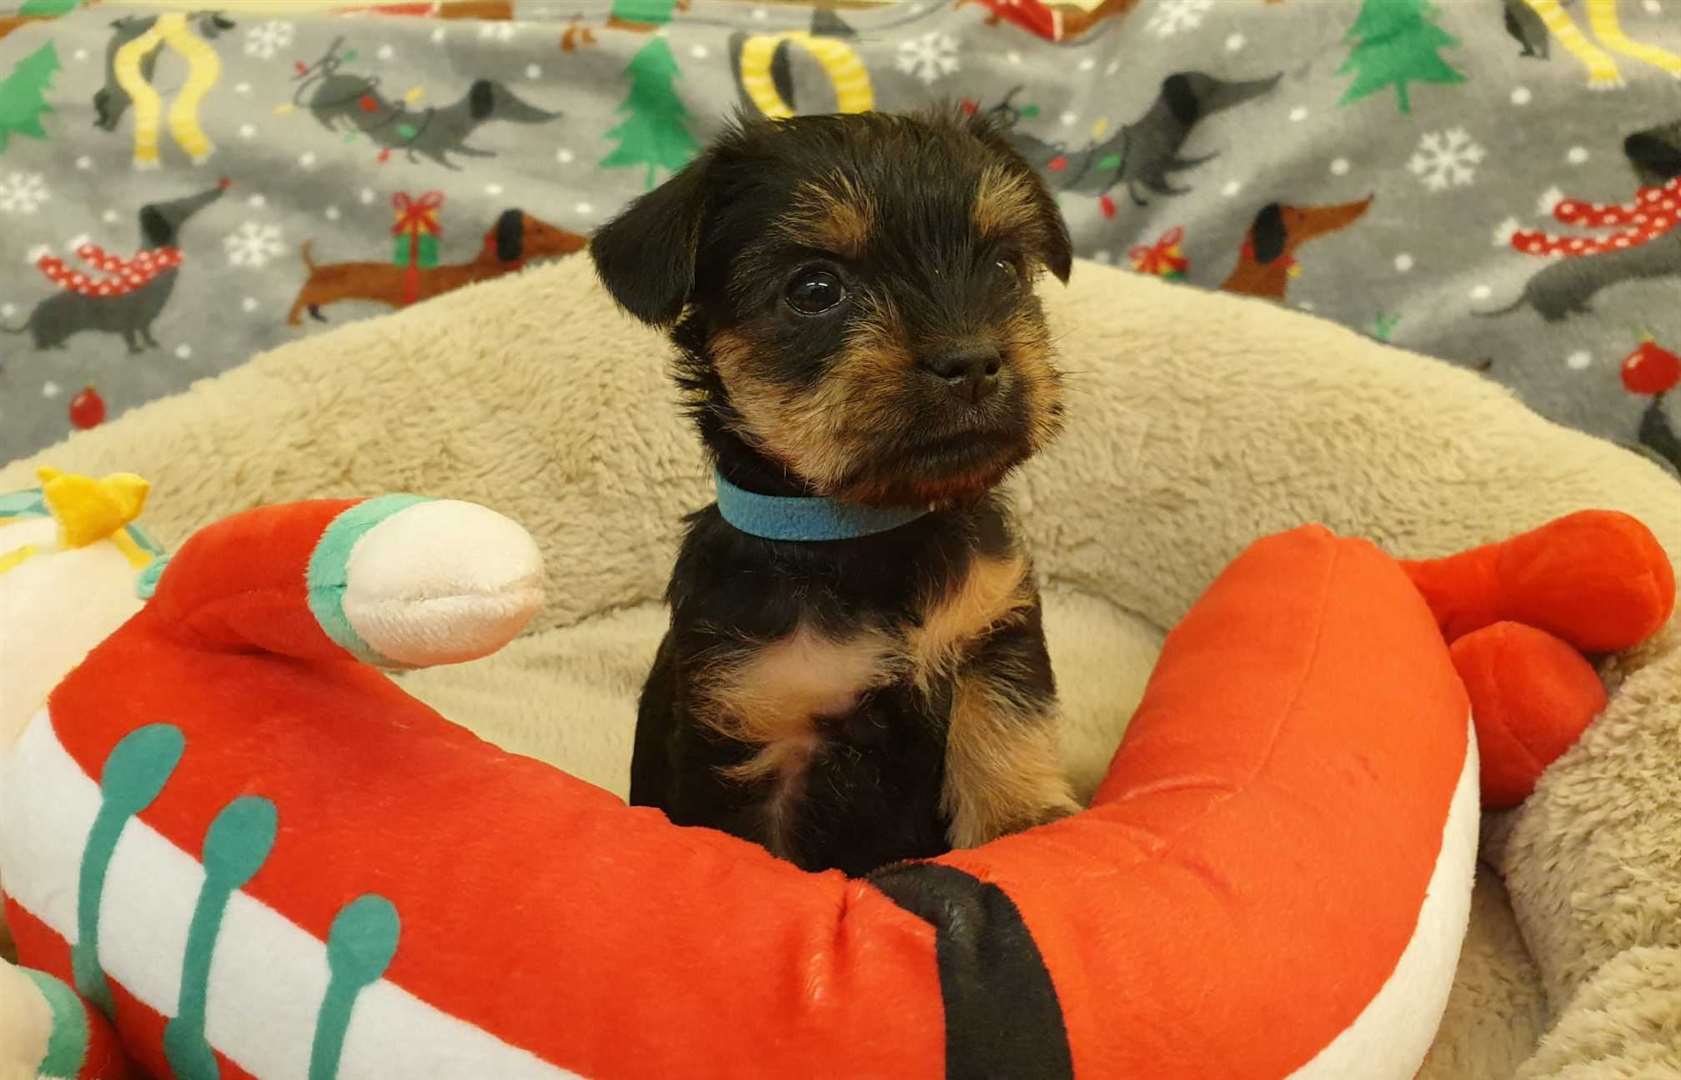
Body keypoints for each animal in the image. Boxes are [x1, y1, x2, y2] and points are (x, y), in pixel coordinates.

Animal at [595, 109, 1075, 874]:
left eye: (1004, 267)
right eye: (814, 290)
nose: (971, 361)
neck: (867, 527)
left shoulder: (991, 637)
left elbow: (1003, 736)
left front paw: (1025, 829)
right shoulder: (755, 730)